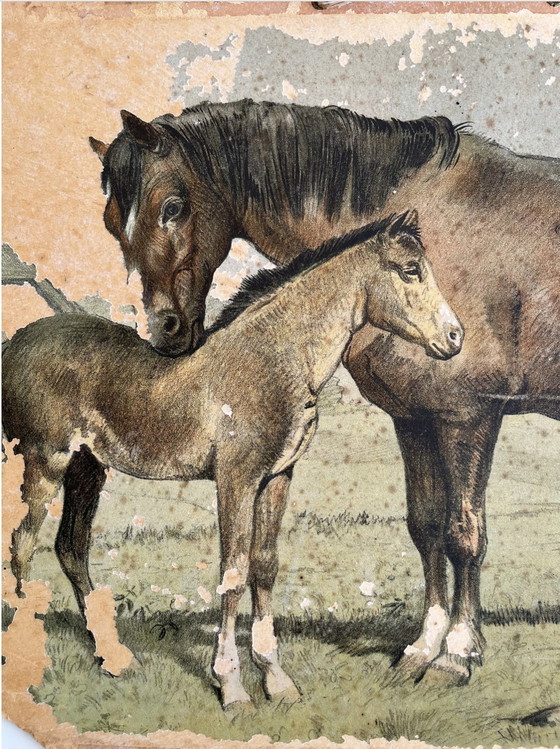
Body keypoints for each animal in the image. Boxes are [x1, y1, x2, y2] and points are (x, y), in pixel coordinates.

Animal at [3, 213, 463, 708]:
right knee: (23, 544)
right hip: (45, 463)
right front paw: (231, 684)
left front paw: (276, 679)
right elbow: (233, 573)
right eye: (411, 270)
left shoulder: (277, 477)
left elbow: (264, 565)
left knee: (71, 548)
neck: (274, 358)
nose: (455, 337)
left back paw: (113, 656)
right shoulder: (236, 479)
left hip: (88, 469)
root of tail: (16, 343)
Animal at [90, 99, 560, 684]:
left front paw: (456, 654)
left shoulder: (468, 416)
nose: (166, 332)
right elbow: (426, 527)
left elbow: (464, 533)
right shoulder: (414, 417)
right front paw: (422, 647)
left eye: (172, 206)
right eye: (112, 223)